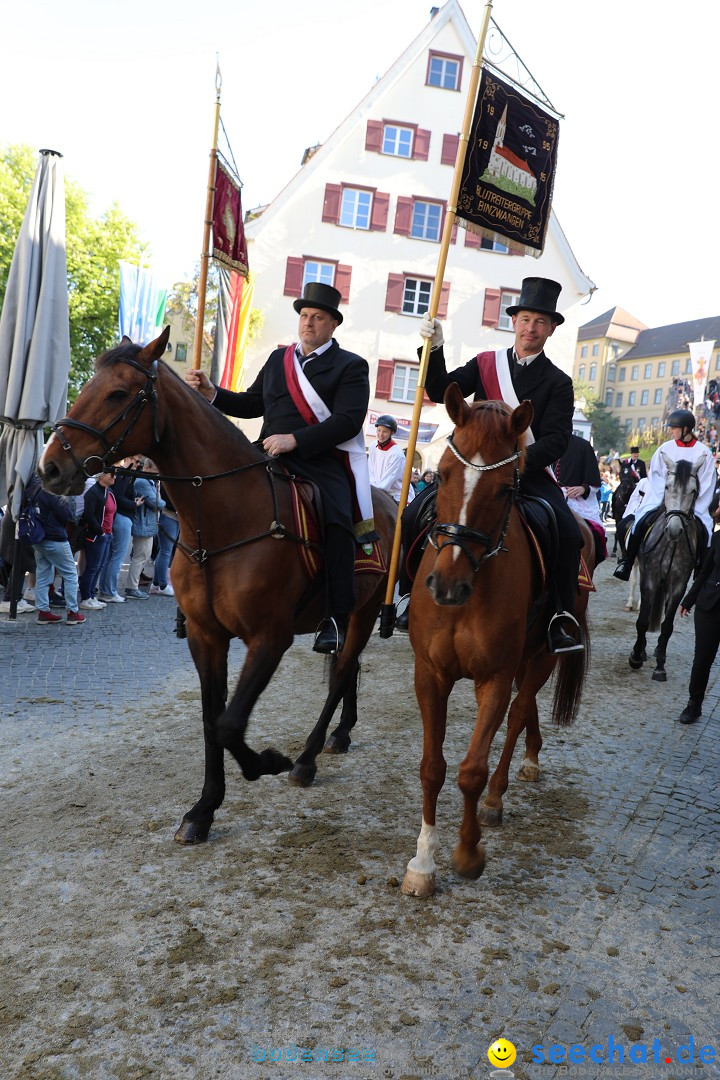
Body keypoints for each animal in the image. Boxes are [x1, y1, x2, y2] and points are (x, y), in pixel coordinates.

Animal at [38, 326, 397, 842]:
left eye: (119, 393)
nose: (49, 469)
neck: (224, 520)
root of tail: (386, 500)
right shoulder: (206, 636)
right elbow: (212, 720)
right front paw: (204, 809)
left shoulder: (269, 638)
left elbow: (229, 724)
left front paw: (267, 762)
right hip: (349, 616)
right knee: (347, 672)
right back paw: (340, 734)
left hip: (364, 613)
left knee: (341, 674)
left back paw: (307, 758)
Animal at [399, 384, 591, 898]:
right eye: (442, 474)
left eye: (506, 488)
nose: (446, 586)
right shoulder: (430, 675)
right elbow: (432, 768)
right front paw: (422, 863)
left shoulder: (495, 679)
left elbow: (472, 769)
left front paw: (468, 855)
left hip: (542, 656)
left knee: (520, 713)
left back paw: (498, 797)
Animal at [630, 457, 703, 678]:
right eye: (667, 486)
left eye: (693, 490)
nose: (674, 529)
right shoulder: (650, 579)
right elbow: (643, 620)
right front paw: (636, 656)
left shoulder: (678, 585)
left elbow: (667, 626)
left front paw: (660, 666)